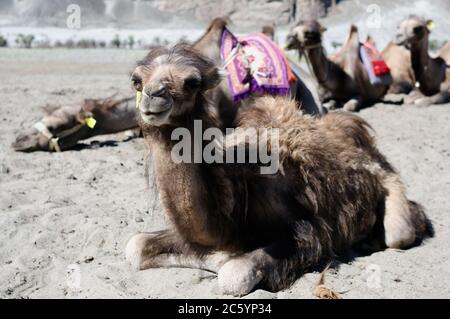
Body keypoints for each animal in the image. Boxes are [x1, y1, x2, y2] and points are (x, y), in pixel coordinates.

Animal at [125, 43, 430, 296]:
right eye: (136, 80)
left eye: (192, 82)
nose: (153, 97)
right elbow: (135, 246)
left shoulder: (308, 231)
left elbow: (233, 274)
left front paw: (223, 260)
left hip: (390, 182)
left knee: (399, 232)